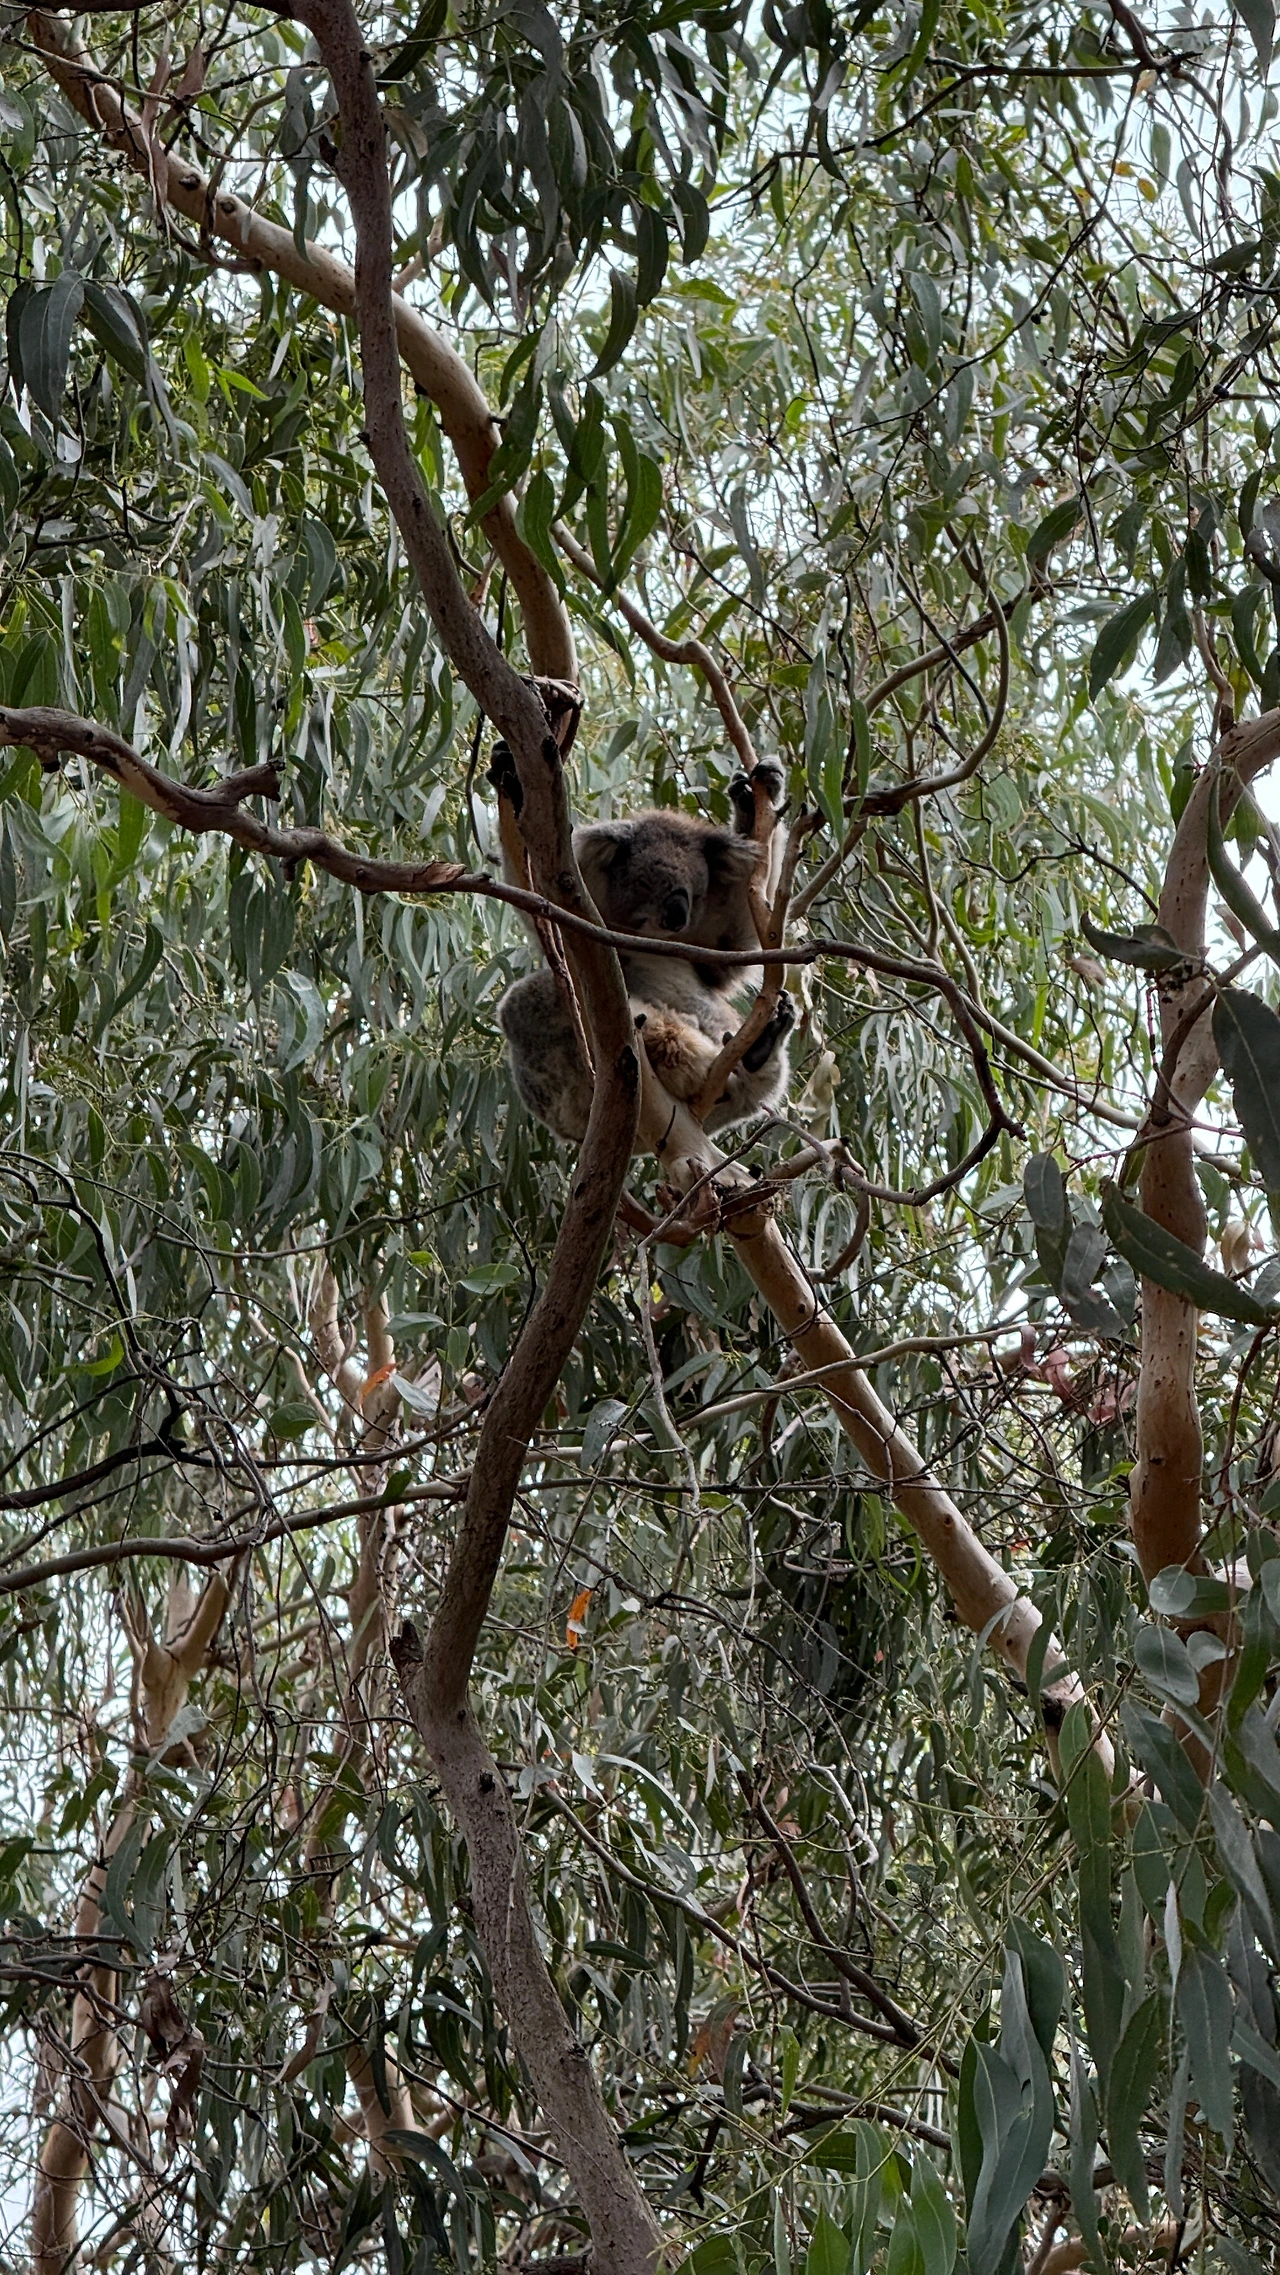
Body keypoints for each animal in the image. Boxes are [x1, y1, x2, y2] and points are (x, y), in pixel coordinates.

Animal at [495, 760, 794, 1145]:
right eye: (645, 884)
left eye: (696, 892)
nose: (677, 917)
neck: (645, 936)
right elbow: (533, 898)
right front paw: (508, 773)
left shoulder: (710, 944)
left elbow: (739, 937)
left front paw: (755, 792)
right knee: (534, 999)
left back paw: (761, 1046)